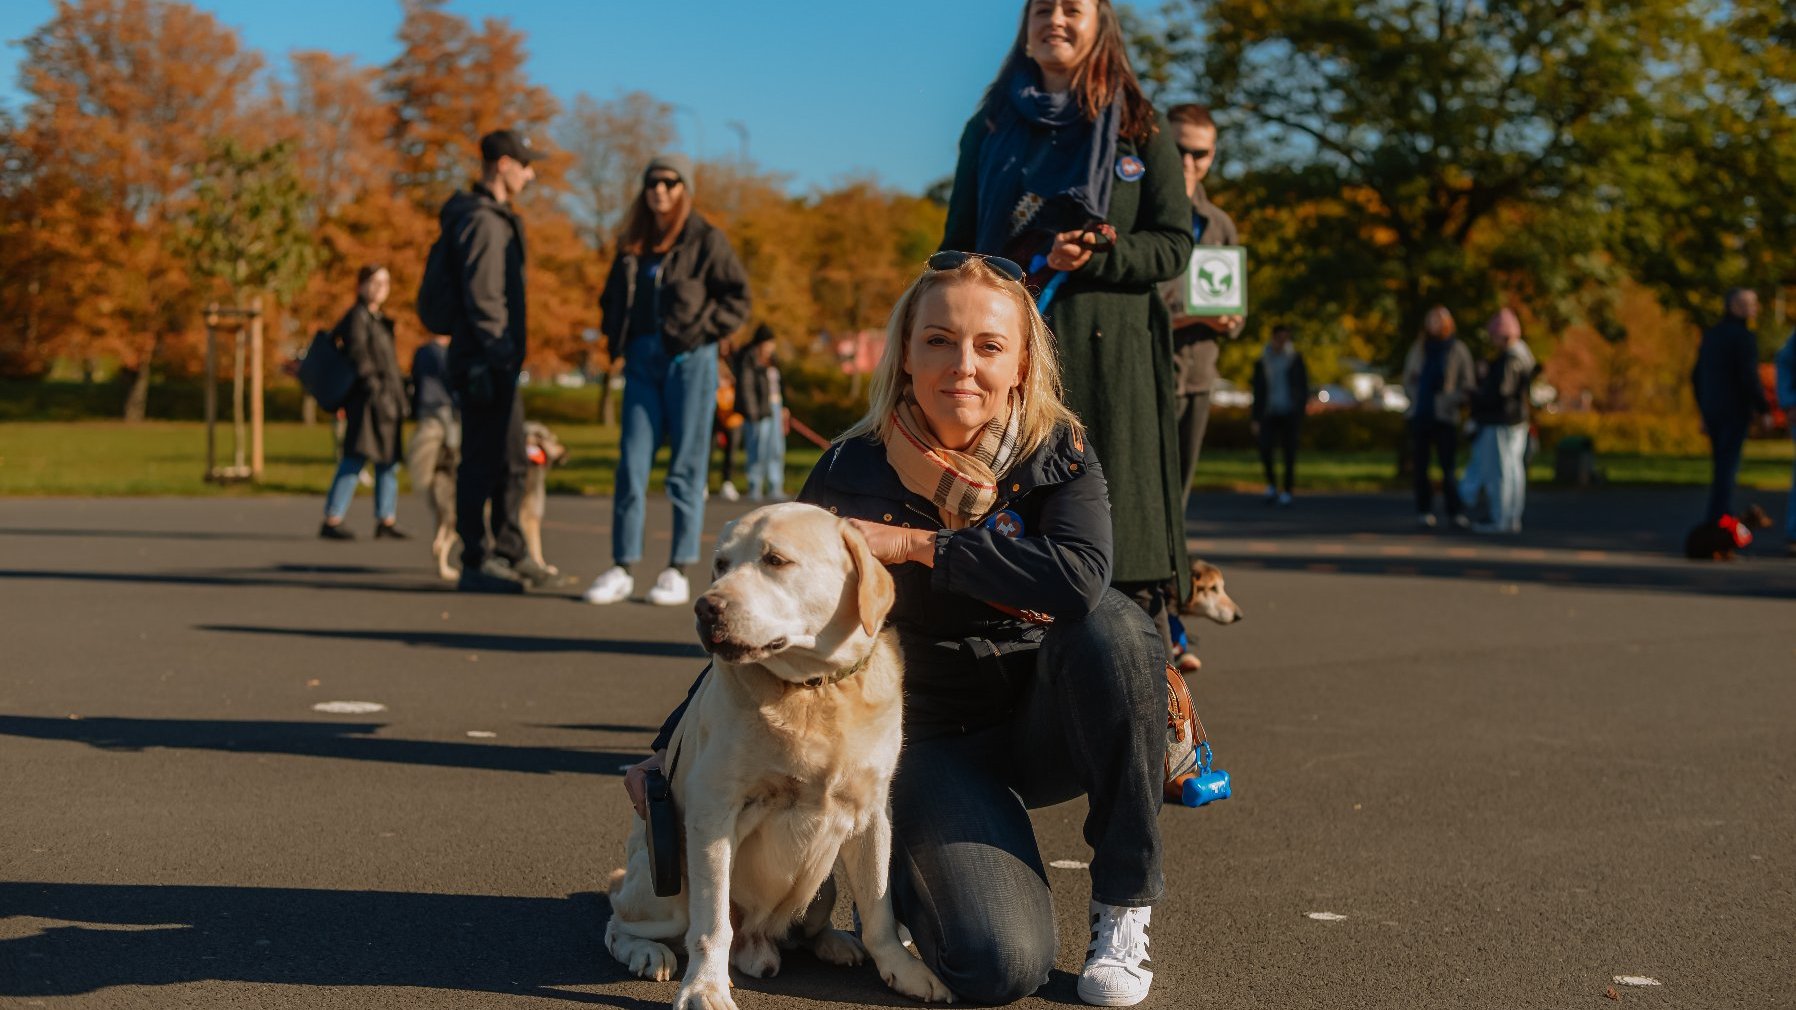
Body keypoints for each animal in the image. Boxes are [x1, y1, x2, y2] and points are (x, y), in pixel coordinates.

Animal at [603, 503, 955, 1006]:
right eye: (720, 565)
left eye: (775, 560)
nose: (705, 607)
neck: (814, 689)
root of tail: (758, 944)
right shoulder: (714, 815)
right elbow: (712, 923)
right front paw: (705, 987)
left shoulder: (873, 813)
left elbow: (879, 907)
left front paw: (902, 969)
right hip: (665, 879)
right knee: (621, 921)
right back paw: (648, 953)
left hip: (824, 886)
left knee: (804, 928)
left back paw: (833, 942)